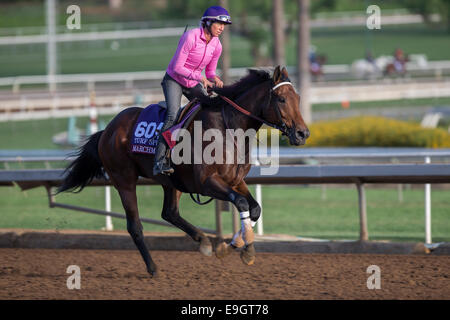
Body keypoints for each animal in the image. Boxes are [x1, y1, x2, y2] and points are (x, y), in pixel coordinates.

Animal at [57, 66, 310, 276]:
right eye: (281, 98)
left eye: (297, 98)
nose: (303, 133)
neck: (229, 128)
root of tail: (107, 130)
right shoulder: (207, 182)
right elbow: (241, 203)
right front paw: (244, 250)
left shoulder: (235, 180)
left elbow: (254, 208)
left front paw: (232, 245)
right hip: (124, 179)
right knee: (135, 226)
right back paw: (153, 268)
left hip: (171, 181)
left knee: (169, 212)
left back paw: (203, 241)